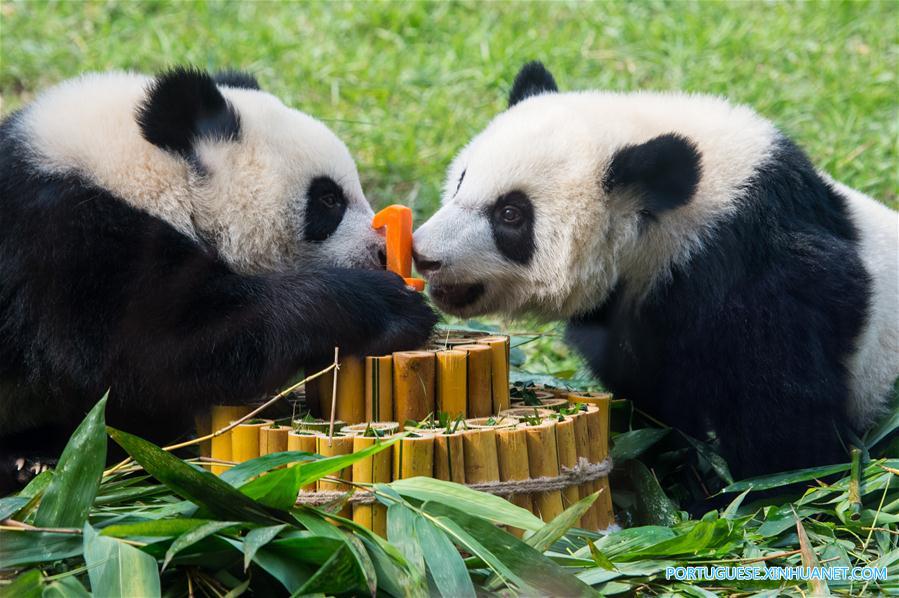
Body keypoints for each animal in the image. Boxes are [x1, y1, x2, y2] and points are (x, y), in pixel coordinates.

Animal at [0, 67, 436, 488]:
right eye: (328, 199)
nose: (382, 252)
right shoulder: (68, 244)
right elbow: (159, 349)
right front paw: (390, 307)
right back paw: (29, 461)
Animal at [413, 62, 898, 479]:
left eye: (511, 214)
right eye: (461, 181)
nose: (423, 255)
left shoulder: (758, 271)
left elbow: (782, 414)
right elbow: (655, 399)